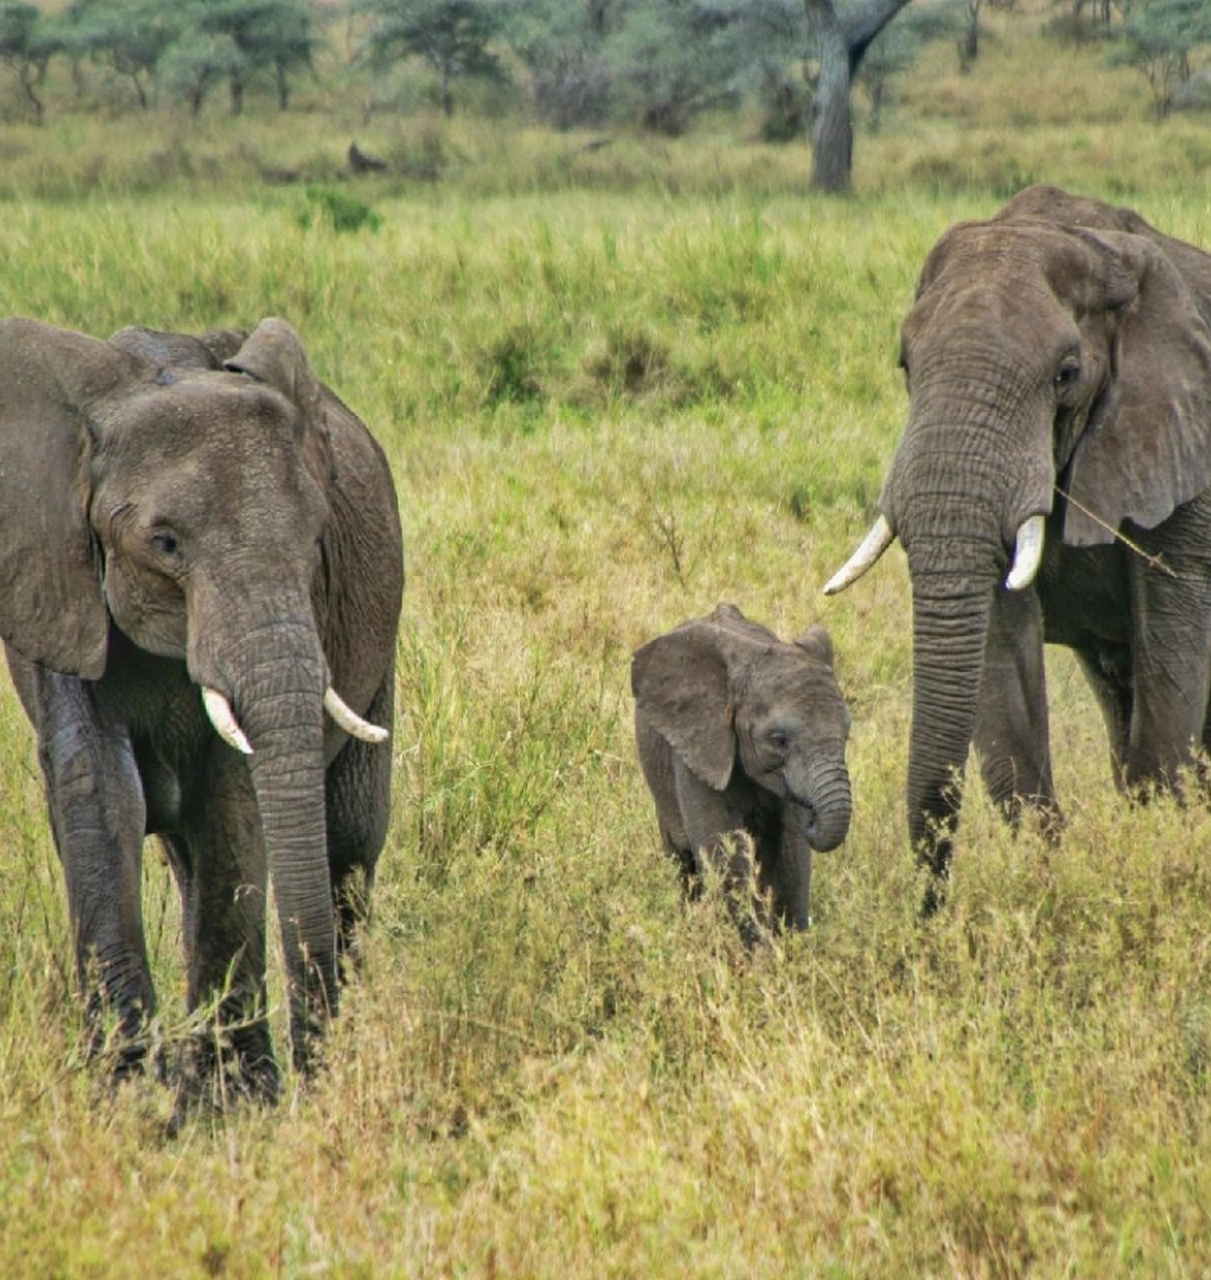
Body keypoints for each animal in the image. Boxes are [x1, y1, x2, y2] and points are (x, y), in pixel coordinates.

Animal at [0, 312, 407, 1100]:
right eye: (164, 543)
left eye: (317, 540)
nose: (315, 1075)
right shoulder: (57, 586)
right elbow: (98, 794)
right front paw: (130, 1098)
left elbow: (231, 803)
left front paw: (233, 1104)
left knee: (348, 839)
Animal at [632, 604, 850, 936]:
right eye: (778, 740)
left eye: (847, 733)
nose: (813, 816)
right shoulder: (700, 748)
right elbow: (725, 849)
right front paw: (755, 947)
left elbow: (792, 852)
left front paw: (792, 944)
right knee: (683, 861)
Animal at [824, 186, 1208, 890]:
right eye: (905, 365)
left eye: (1066, 373)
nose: (930, 896)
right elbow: (1004, 660)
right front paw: (1042, 873)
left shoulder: (1184, 443)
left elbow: (1171, 640)